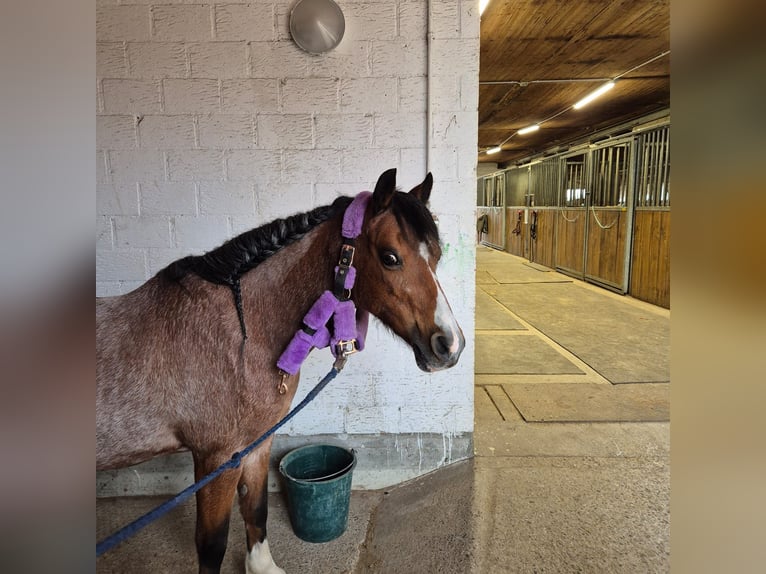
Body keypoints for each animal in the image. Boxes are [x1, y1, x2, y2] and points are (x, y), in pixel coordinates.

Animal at [96, 168, 465, 574]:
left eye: (436, 255)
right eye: (390, 257)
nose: (450, 345)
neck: (240, 335)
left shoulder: (256, 445)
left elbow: (257, 509)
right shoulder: (217, 457)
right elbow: (212, 544)